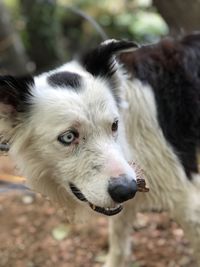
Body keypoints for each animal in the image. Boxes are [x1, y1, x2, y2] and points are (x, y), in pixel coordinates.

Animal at [0, 32, 199, 266]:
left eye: (114, 125)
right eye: (68, 137)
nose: (127, 190)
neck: (131, 137)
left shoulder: (188, 204)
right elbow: (118, 246)